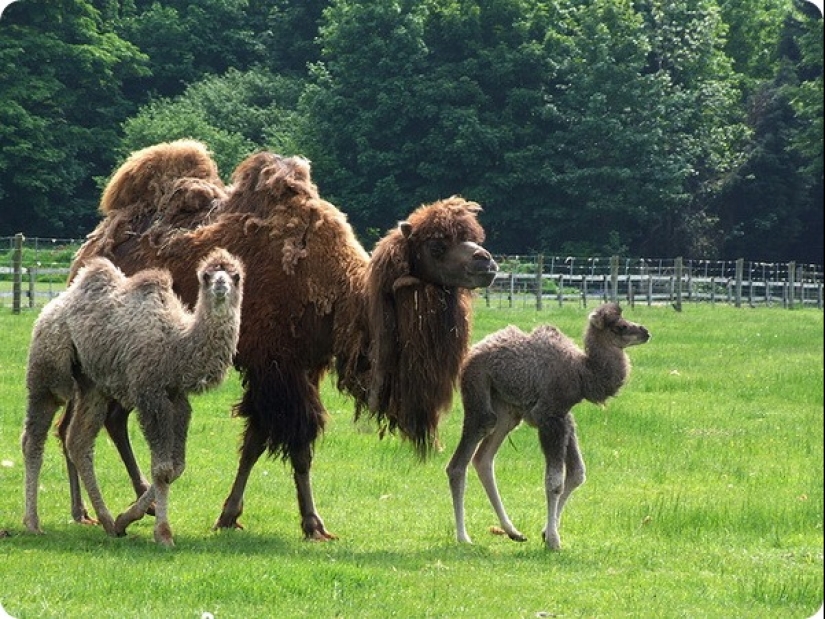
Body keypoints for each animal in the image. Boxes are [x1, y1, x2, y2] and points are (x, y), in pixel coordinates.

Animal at [21, 247, 241, 548]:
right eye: (206, 276)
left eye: (236, 276)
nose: (220, 285)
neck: (177, 346)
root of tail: (50, 307)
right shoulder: (149, 395)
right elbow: (162, 468)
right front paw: (163, 533)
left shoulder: (177, 398)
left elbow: (177, 467)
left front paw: (126, 519)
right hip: (47, 371)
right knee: (34, 437)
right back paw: (33, 523)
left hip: (93, 386)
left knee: (78, 441)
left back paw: (106, 521)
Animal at [61, 139, 498, 536]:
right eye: (437, 245)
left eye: (475, 235)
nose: (487, 263)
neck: (338, 288)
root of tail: (90, 249)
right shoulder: (275, 368)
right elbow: (287, 442)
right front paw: (302, 522)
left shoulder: (302, 368)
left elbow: (269, 442)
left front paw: (249, 516)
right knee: (85, 424)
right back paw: (101, 510)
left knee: (107, 420)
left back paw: (124, 505)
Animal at [448, 302, 648, 548]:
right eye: (621, 326)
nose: (645, 332)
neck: (581, 372)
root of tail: (469, 356)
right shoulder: (548, 417)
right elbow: (555, 481)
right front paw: (553, 539)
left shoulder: (564, 417)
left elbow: (578, 473)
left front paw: (545, 532)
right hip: (478, 390)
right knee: (459, 463)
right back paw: (463, 537)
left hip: (507, 411)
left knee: (483, 459)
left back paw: (513, 531)